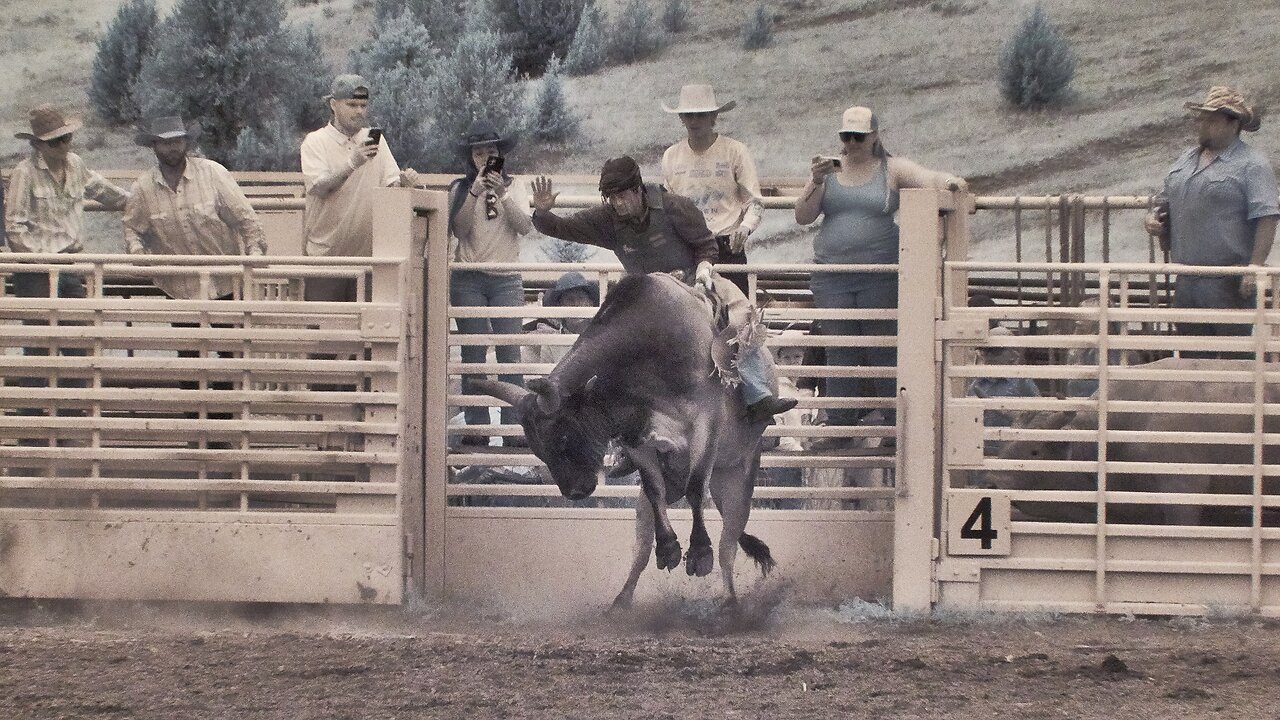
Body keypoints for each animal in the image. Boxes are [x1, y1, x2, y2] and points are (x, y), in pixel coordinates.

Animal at [478, 269, 773, 604]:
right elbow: (654, 489)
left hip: (739, 485)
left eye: (565, 437)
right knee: (642, 548)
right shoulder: (636, 437)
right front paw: (669, 549)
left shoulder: (707, 422)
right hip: (657, 498)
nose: (574, 492)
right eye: (538, 450)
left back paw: (730, 603)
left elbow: (697, 488)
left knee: (727, 548)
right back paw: (620, 602)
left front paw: (699, 554)